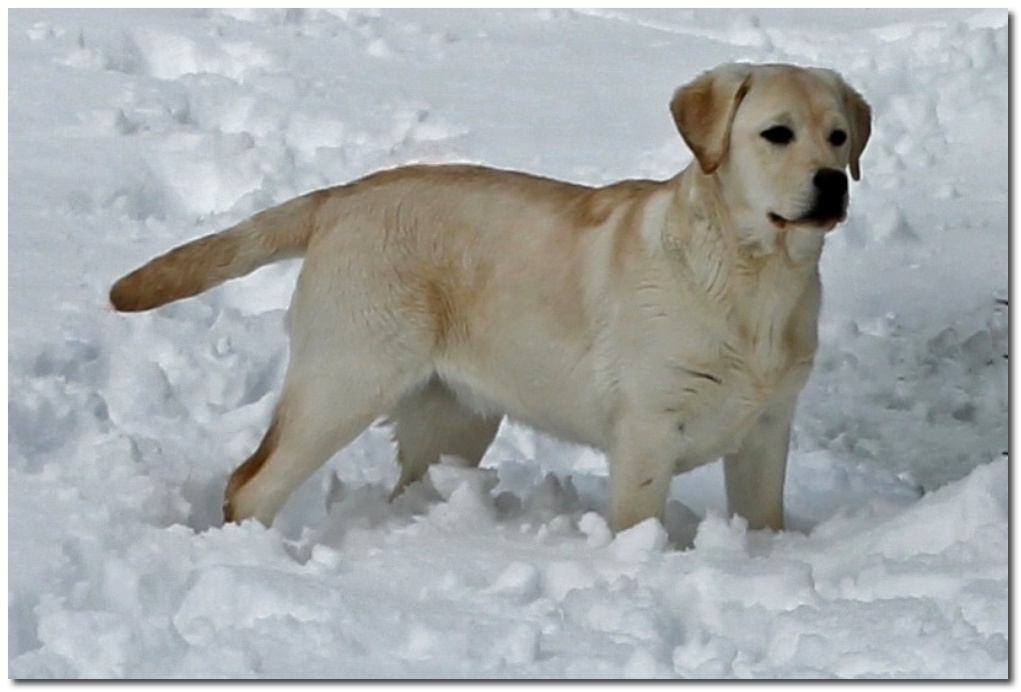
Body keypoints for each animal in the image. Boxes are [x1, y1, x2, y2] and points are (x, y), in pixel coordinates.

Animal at [110, 62, 870, 533]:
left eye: (839, 136)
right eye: (776, 133)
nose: (833, 182)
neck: (756, 280)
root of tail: (342, 197)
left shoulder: (767, 431)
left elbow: (763, 520)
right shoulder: (648, 431)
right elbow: (638, 526)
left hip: (451, 420)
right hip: (343, 381)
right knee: (250, 484)